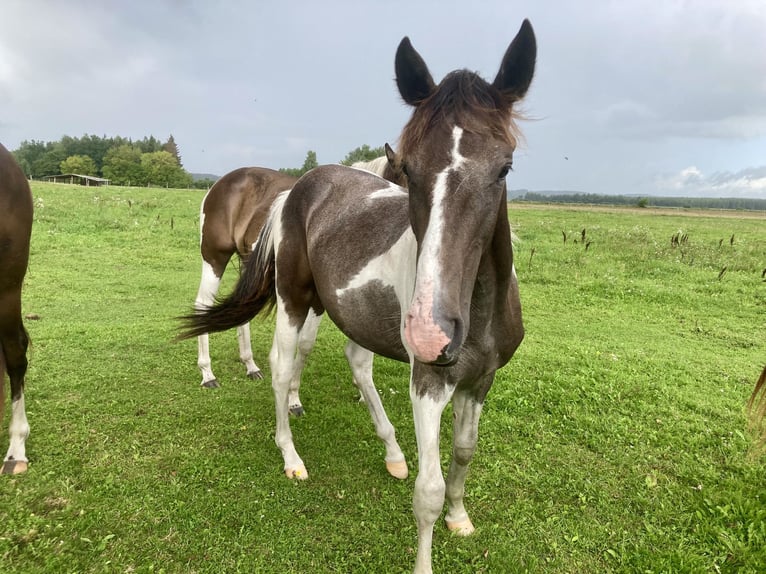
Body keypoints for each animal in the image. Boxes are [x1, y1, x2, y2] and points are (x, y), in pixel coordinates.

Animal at [182, 19, 536, 574]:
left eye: (505, 168)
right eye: (410, 169)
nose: (431, 334)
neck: (478, 310)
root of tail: (297, 188)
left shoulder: (481, 380)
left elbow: (464, 453)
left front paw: (460, 518)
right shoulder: (428, 383)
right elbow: (428, 490)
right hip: (288, 296)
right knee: (279, 365)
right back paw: (289, 453)